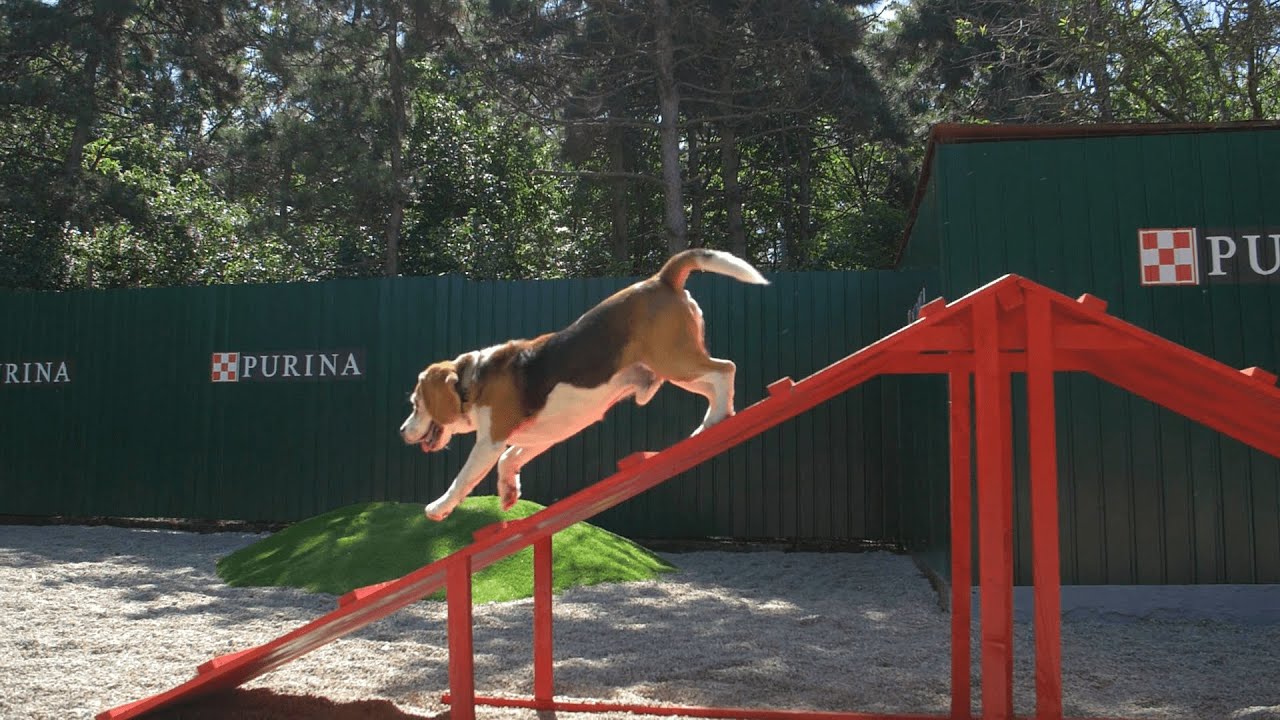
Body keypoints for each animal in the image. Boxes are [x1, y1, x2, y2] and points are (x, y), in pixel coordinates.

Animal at [396, 249, 768, 517]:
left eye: (416, 404)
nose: (401, 432)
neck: (472, 379)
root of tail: (660, 279)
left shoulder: (489, 441)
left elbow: (464, 477)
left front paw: (439, 507)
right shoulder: (541, 436)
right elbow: (509, 460)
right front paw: (509, 492)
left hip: (676, 360)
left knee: (725, 370)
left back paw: (718, 415)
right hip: (674, 369)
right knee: (714, 385)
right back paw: (710, 423)